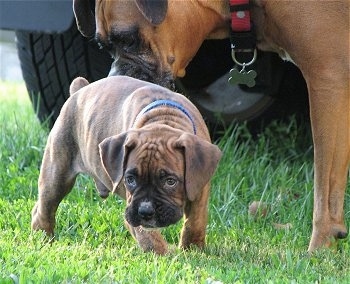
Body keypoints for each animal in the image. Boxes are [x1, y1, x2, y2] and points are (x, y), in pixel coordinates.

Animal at [31, 76, 220, 255]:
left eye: (170, 181)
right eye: (130, 180)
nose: (145, 211)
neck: (164, 119)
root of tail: (80, 89)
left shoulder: (200, 189)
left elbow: (195, 221)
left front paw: (193, 249)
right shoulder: (133, 209)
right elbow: (149, 237)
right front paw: (165, 256)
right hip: (56, 175)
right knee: (44, 209)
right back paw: (43, 238)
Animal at [72, 0, 350, 253]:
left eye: (128, 39)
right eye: (103, 46)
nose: (113, 80)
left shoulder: (328, 83)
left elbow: (324, 188)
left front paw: (318, 250)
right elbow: (334, 188)